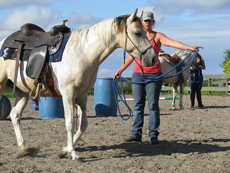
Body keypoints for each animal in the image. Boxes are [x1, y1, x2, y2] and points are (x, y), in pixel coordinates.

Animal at [0, 8, 157, 162]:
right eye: (137, 33)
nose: (153, 58)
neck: (80, 54)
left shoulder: (82, 96)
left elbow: (83, 125)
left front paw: (65, 150)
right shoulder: (68, 95)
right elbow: (70, 123)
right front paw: (74, 154)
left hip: (23, 92)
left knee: (15, 115)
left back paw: (24, 148)